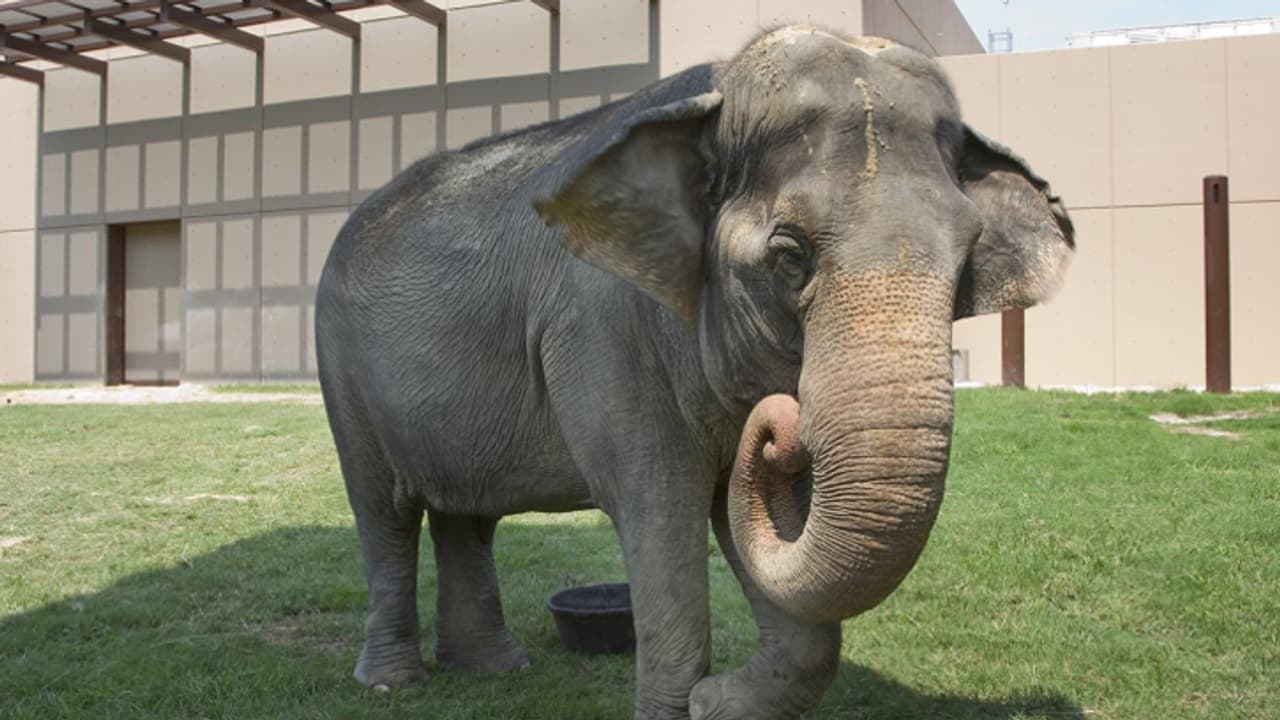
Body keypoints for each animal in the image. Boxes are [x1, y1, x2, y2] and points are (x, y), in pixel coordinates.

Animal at [315, 25, 1074, 720]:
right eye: (790, 255)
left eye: (967, 259)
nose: (781, 423)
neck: (712, 96)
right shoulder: (603, 332)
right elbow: (661, 509)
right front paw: (695, 698)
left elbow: (766, 529)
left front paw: (716, 704)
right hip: (340, 365)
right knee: (385, 511)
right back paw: (392, 683)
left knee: (465, 517)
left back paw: (494, 670)